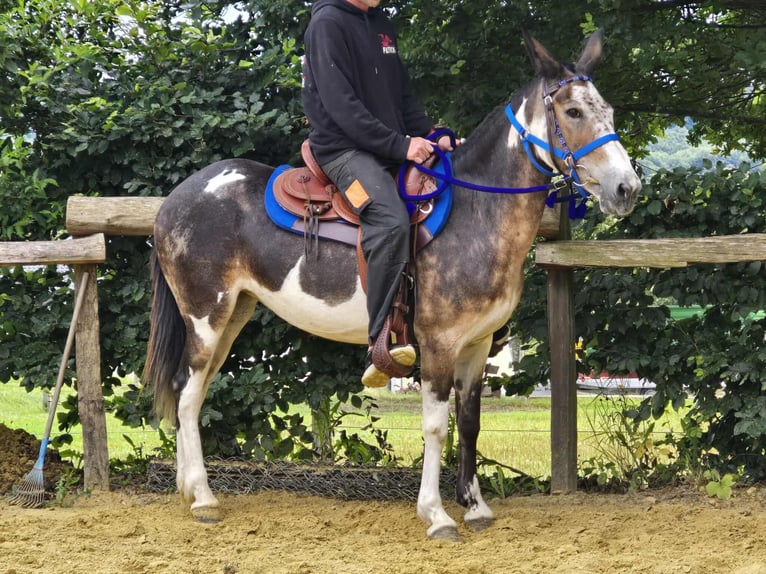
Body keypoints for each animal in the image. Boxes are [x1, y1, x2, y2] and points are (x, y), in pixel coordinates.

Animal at [144, 30, 641, 540]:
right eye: (573, 111)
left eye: (608, 110)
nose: (627, 189)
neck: (476, 212)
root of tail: (175, 200)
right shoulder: (438, 343)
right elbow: (436, 427)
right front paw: (437, 514)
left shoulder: (478, 344)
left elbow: (470, 422)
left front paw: (475, 506)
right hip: (206, 315)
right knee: (186, 393)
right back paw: (203, 497)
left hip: (234, 313)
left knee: (192, 391)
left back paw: (188, 489)